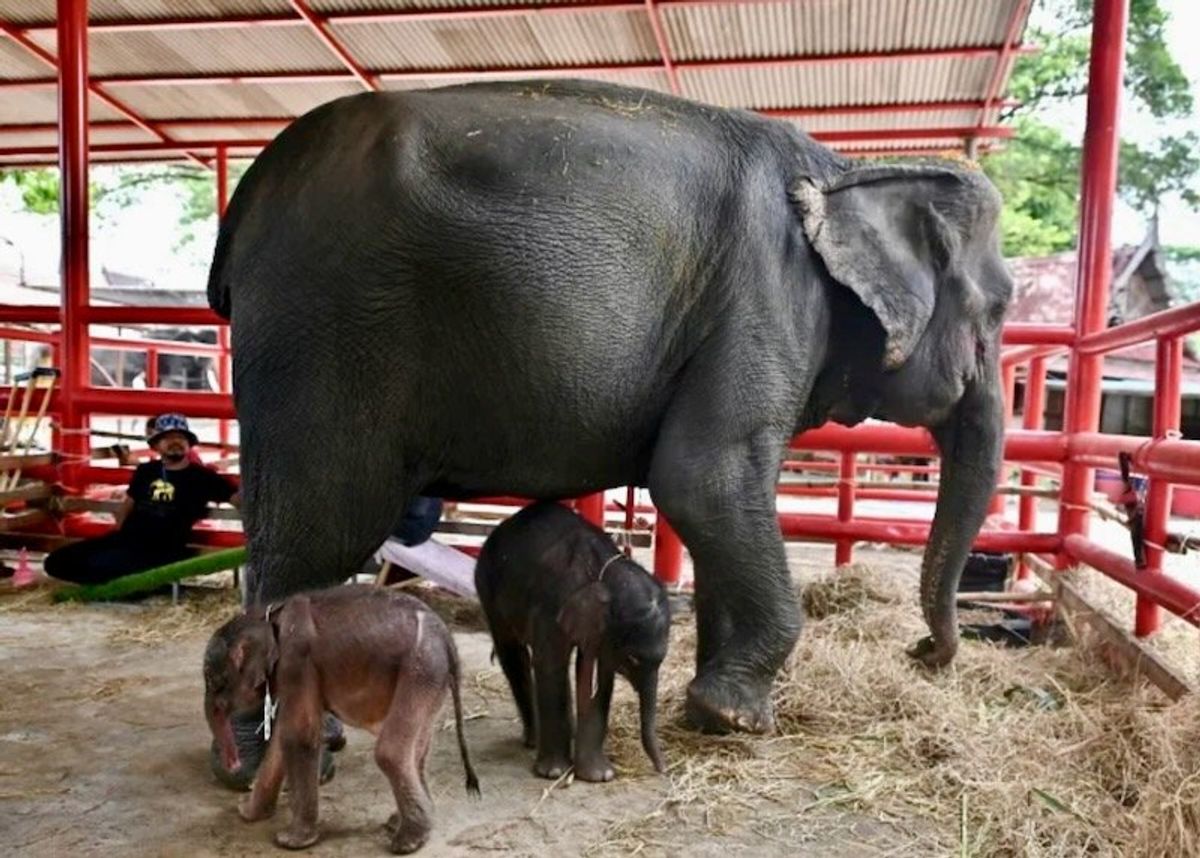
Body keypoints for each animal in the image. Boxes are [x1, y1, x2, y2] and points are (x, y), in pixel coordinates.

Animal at [204, 584, 480, 853]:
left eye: (215, 681)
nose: (234, 765)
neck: (267, 617)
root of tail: (447, 640)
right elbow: (282, 738)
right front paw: (246, 812)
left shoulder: (296, 662)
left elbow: (299, 735)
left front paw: (290, 842)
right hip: (430, 678)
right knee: (417, 752)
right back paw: (402, 823)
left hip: (421, 669)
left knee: (390, 753)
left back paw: (406, 843)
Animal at [208, 78, 1012, 736]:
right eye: (1002, 306)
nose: (925, 652)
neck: (849, 167)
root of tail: (247, 198)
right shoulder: (766, 301)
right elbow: (703, 477)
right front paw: (736, 719)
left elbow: (716, 500)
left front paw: (711, 706)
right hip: (326, 334)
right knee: (315, 535)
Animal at [475, 501, 670, 782]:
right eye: (633, 658)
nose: (663, 770)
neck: (605, 571)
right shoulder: (551, 605)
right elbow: (550, 665)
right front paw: (554, 772)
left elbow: (599, 676)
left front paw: (599, 776)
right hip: (487, 585)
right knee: (512, 653)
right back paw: (533, 741)